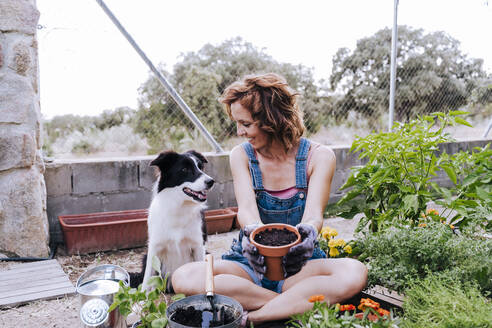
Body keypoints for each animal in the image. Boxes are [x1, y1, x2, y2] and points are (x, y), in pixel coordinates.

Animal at [131, 150, 213, 290]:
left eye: (200, 167)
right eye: (185, 169)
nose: (211, 181)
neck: (179, 207)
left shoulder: (198, 245)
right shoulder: (154, 247)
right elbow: (147, 277)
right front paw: (143, 294)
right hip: (145, 256)